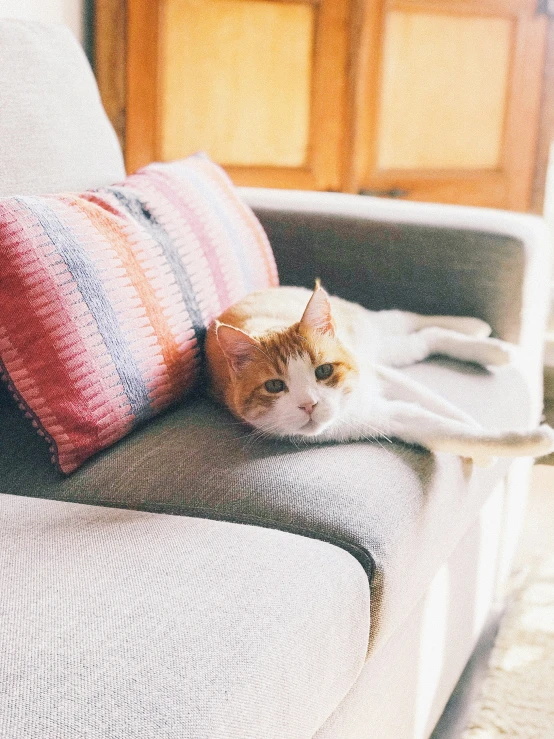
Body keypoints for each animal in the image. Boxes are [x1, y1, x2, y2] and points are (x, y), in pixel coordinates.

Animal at [204, 284, 554, 462]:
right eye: (275, 386)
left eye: (324, 370)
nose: (309, 405)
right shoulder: (384, 418)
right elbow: (445, 428)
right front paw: (526, 441)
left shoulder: (376, 373)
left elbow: (432, 399)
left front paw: (469, 419)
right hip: (386, 348)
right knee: (423, 340)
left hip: (374, 334)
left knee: (409, 322)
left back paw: (478, 331)